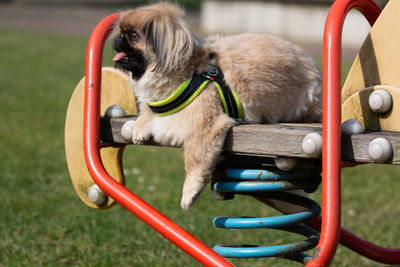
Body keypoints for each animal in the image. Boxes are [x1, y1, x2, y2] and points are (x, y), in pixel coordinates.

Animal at [111, 2, 322, 211]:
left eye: (134, 36)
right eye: (121, 32)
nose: (119, 37)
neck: (188, 72)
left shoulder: (205, 128)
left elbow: (194, 162)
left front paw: (189, 194)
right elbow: (147, 110)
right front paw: (140, 127)